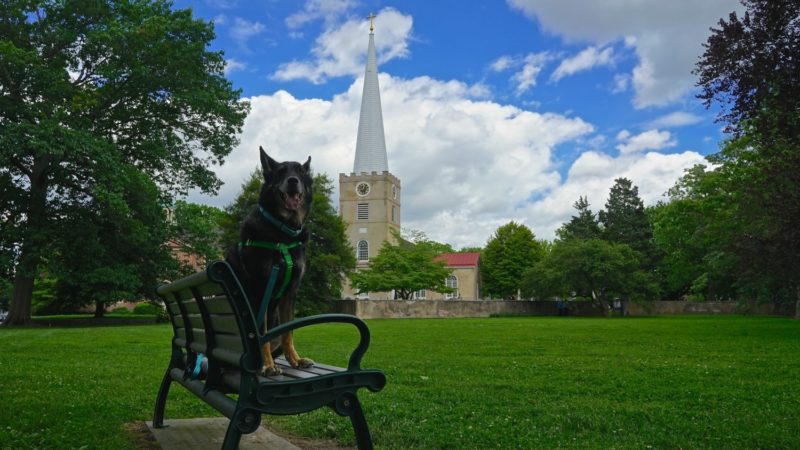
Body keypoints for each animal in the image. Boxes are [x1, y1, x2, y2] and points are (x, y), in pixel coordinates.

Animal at [227, 147, 314, 376]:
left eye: (301, 172)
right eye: (281, 172)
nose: (292, 181)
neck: (282, 233)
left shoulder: (291, 292)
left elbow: (288, 333)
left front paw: (295, 360)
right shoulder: (260, 289)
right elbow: (261, 335)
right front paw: (267, 365)